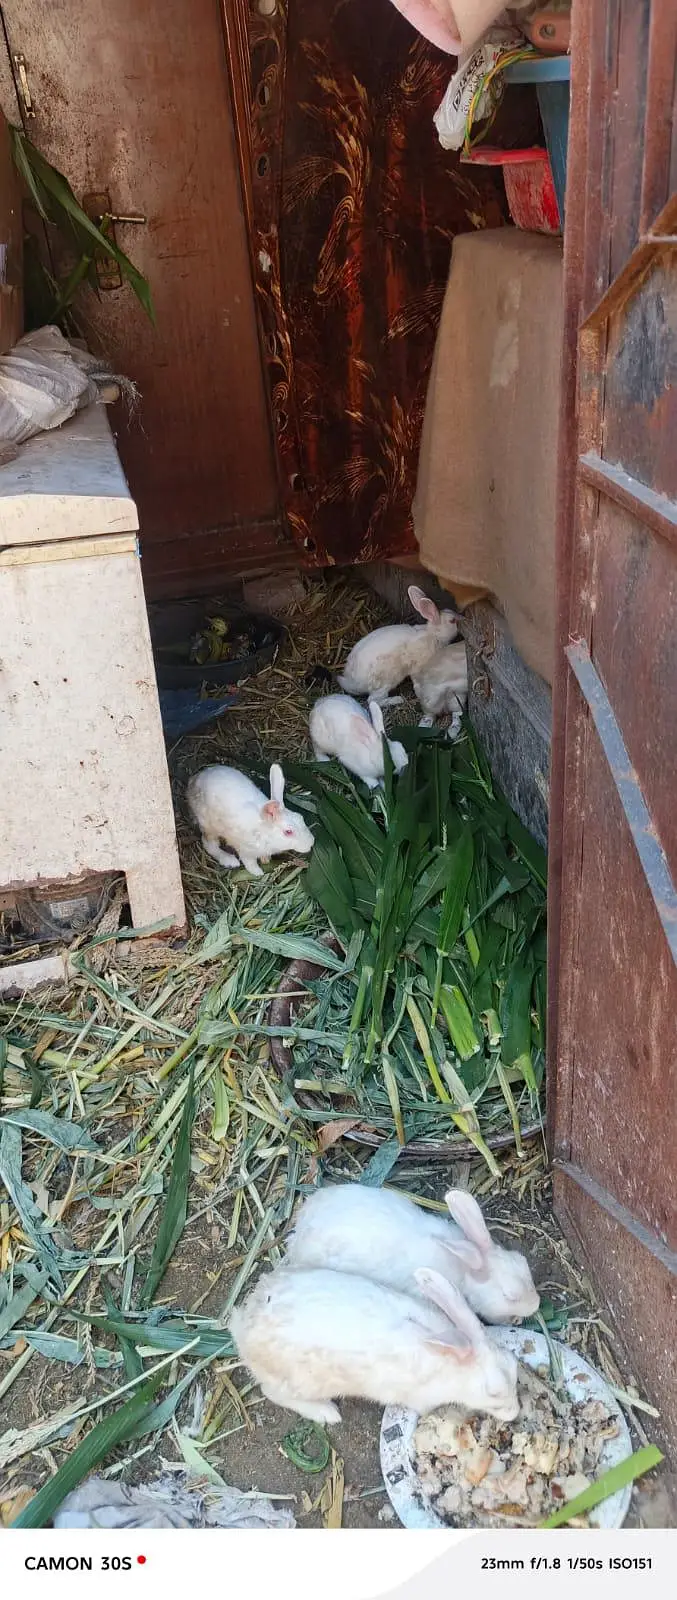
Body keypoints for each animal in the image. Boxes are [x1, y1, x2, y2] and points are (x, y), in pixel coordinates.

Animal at [186, 763, 314, 877]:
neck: (264, 831)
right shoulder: (245, 850)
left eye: (301, 818)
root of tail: (194, 780)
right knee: (209, 844)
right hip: (209, 825)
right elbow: (249, 862)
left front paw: (265, 859)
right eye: (288, 832)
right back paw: (230, 861)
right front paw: (258, 872)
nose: (311, 843)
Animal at [229, 1264, 520, 1426]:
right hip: (298, 1382)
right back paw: (327, 1413)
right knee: (272, 1393)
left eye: (514, 1366)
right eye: (493, 1393)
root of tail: (243, 1325)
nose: (515, 1413)